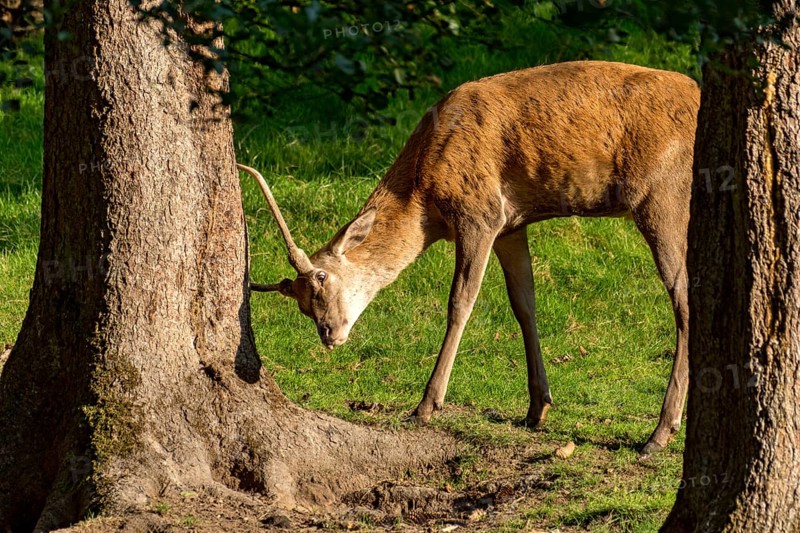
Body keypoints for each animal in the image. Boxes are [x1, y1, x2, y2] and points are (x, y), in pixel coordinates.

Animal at [238, 60, 700, 454]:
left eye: (322, 279)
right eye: (299, 304)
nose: (329, 334)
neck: (425, 198)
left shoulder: (480, 212)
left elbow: (461, 301)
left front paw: (425, 405)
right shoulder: (512, 223)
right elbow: (524, 304)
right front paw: (537, 408)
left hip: (662, 195)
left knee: (684, 296)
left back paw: (659, 433)